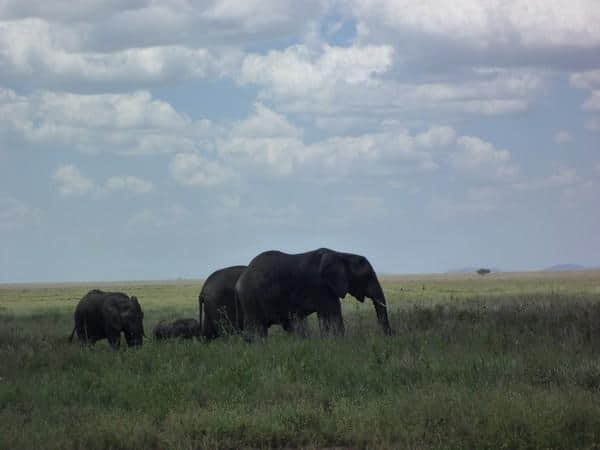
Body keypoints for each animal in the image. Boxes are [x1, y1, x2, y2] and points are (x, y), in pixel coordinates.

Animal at [234, 248, 394, 340]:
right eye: (367, 276)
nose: (387, 337)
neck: (342, 255)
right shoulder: (320, 286)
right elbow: (333, 315)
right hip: (251, 299)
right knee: (257, 328)